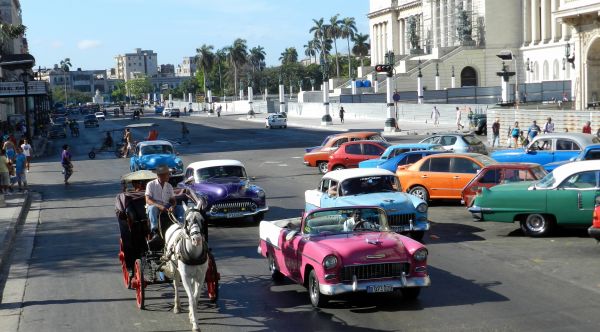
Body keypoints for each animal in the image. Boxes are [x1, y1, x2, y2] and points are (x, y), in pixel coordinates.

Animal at [164, 202, 209, 332]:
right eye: (187, 220)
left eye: (202, 219)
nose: (197, 239)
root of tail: (175, 225)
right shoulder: (185, 277)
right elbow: (191, 298)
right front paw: (195, 324)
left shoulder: (201, 277)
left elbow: (196, 297)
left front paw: (192, 316)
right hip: (175, 269)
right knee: (176, 285)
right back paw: (177, 307)